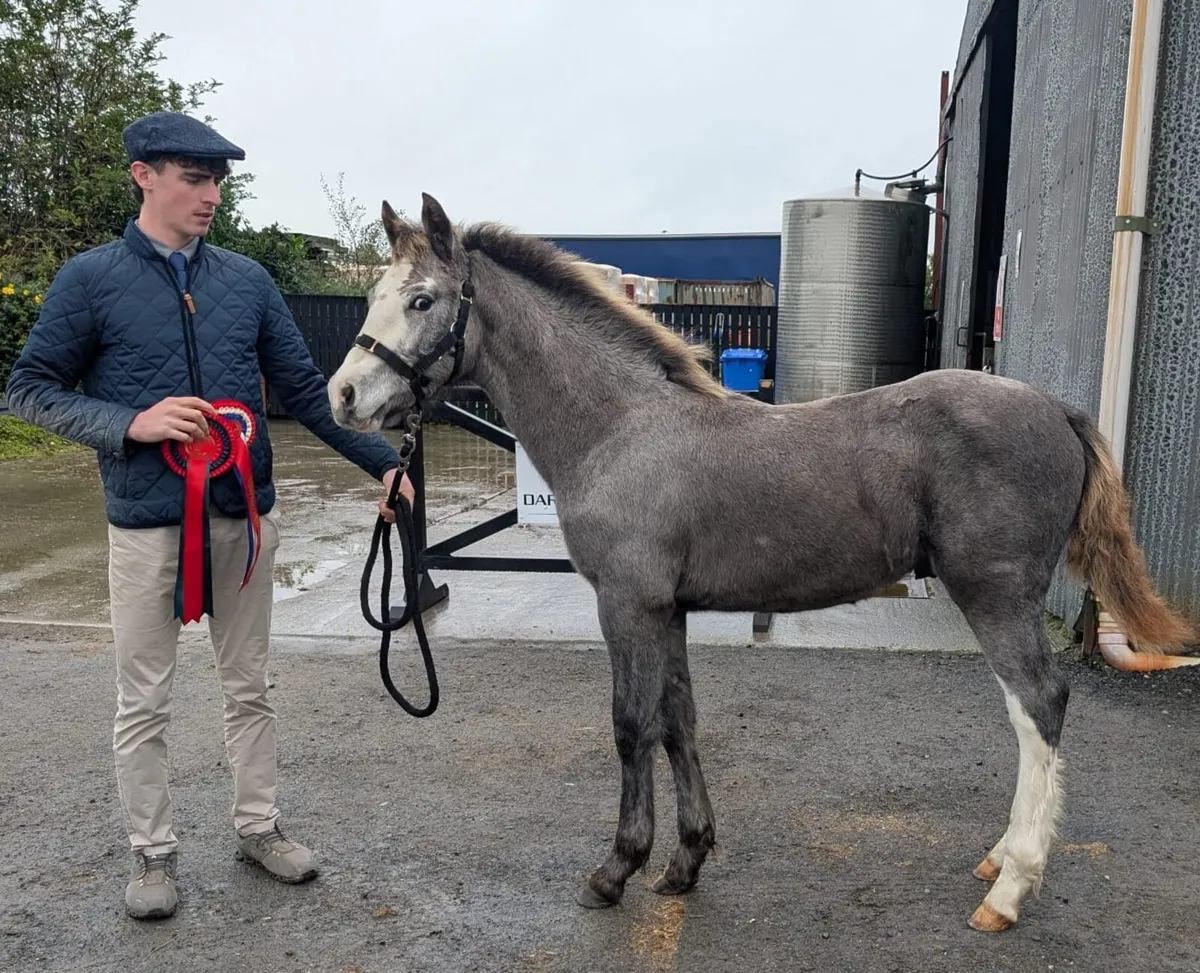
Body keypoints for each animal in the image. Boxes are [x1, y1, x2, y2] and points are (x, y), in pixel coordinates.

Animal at [326, 192, 1196, 933]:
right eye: (372, 298)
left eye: (422, 300)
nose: (343, 396)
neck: (621, 428)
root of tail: (1056, 408)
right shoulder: (669, 609)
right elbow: (678, 722)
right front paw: (685, 862)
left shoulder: (627, 603)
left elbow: (630, 726)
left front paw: (615, 869)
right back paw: (997, 863)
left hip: (996, 594)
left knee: (1037, 704)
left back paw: (1011, 886)